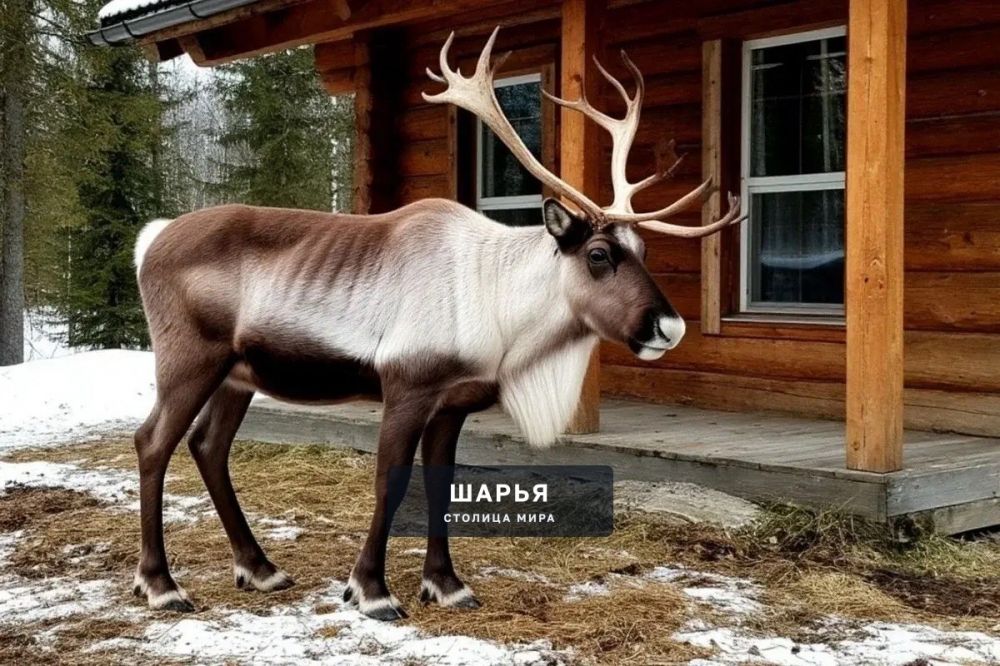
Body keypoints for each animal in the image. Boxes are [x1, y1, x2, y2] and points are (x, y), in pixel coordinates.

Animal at [130, 27, 744, 621]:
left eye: (642, 249)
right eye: (598, 254)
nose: (670, 326)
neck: (498, 307)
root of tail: (149, 242)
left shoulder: (454, 402)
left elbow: (441, 483)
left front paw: (446, 584)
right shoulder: (407, 386)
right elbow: (391, 479)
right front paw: (371, 590)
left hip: (237, 374)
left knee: (209, 446)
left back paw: (260, 569)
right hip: (189, 360)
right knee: (152, 441)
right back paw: (161, 585)